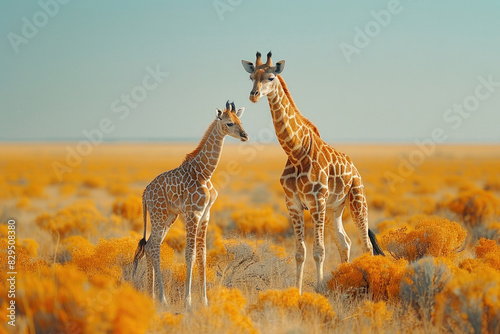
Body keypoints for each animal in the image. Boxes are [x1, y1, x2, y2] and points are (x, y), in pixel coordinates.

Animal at [241, 51, 382, 294]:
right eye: (251, 78)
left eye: (271, 77)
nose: (254, 95)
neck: (296, 151)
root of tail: (354, 168)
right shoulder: (294, 204)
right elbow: (300, 252)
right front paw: (297, 292)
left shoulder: (316, 202)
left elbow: (319, 250)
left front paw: (318, 288)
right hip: (335, 209)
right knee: (345, 242)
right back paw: (344, 278)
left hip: (357, 199)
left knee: (365, 244)